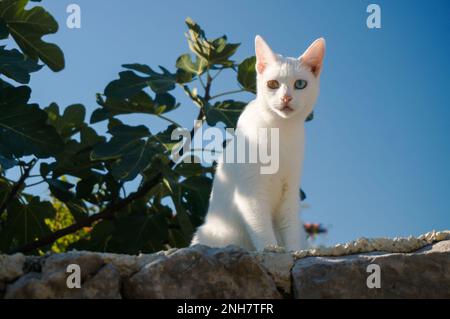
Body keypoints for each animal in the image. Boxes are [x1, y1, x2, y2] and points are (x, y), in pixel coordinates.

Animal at [191, 35, 326, 252]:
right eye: (272, 84)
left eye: (300, 84)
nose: (286, 97)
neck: (280, 130)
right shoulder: (251, 193)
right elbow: (262, 231)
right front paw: (272, 250)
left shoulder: (290, 195)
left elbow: (291, 232)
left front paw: (294, 252)